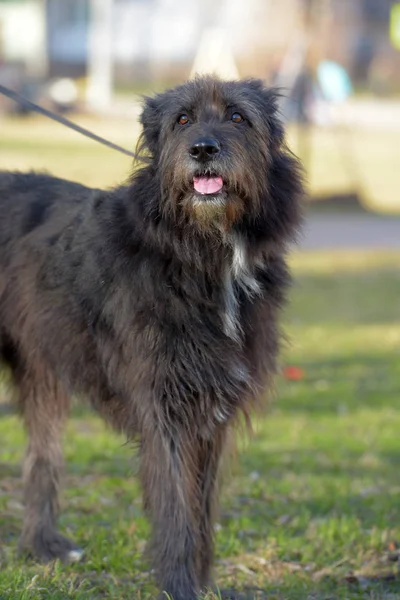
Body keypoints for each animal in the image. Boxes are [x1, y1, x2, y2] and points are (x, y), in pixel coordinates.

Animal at [0, 76, 304, 600]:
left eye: (238, 117)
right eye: (182, 119)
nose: (203, 149)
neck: (202, 252)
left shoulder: (213, 407)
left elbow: (201, 506)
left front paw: (201, 583)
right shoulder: (166, 405)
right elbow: (177, 506)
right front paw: (179, 585)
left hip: (40, 369)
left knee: (42, 454)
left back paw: (41, 546)